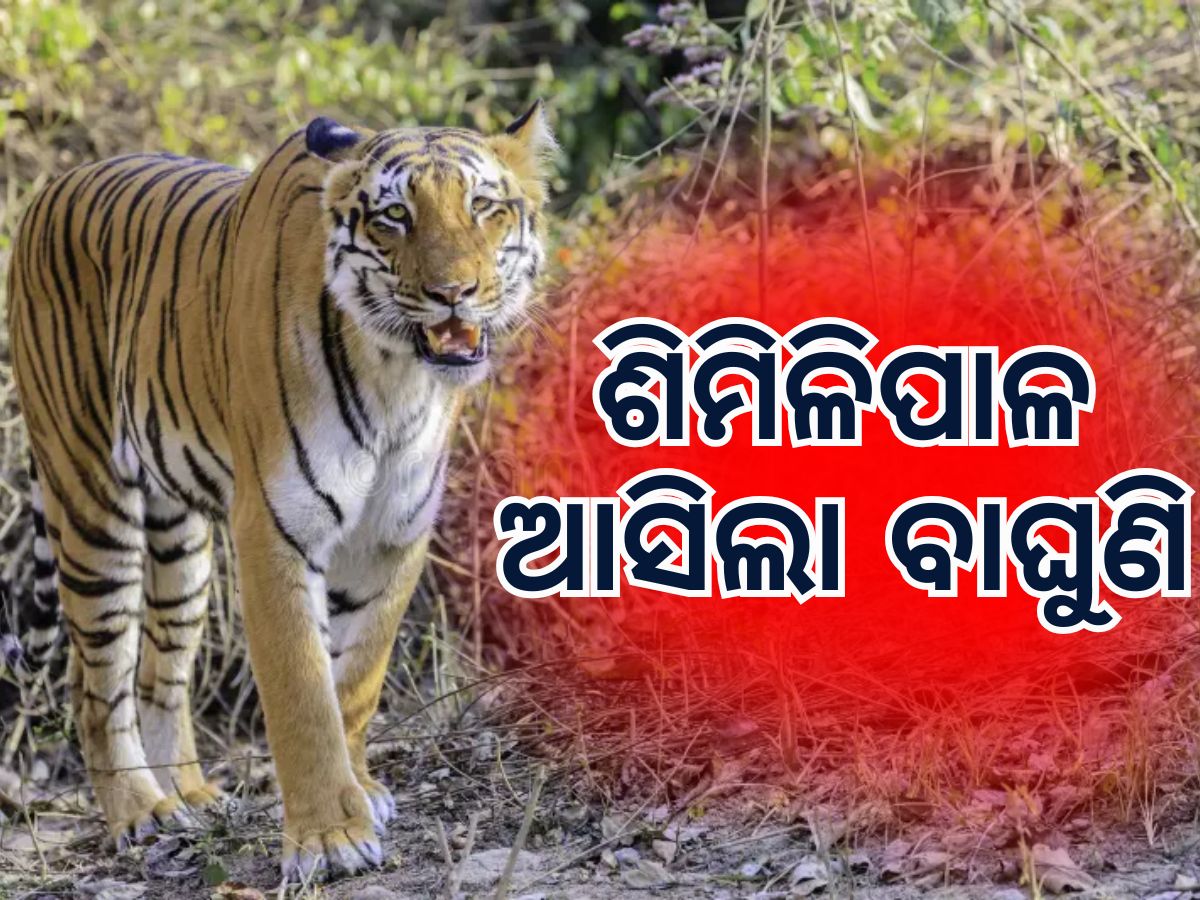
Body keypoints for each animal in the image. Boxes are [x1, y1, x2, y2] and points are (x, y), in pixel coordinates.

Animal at [6, 102, 554, 880]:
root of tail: (55, 185)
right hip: (91, 499)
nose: (454, 292)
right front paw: (330, 837)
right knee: (98, 680)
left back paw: (192, 795)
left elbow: (355, 680)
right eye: (396, 215)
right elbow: (302, 692)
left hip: (181, 546)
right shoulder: (274, 527)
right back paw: (141, 812)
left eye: (483, 207)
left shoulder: (393, 535)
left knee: (160, 673)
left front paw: (360, 793)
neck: (398, 378)